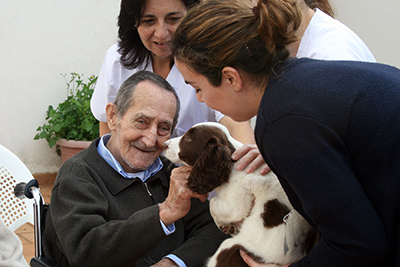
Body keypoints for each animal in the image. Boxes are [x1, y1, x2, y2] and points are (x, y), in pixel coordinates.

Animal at [163, 122, 318, 266]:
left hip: (229, 249)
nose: (164, 144)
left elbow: (213, 204)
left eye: (188, 138)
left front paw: (224, 225)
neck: (232, 162)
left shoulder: (237, 200)